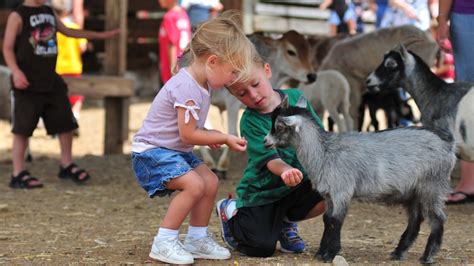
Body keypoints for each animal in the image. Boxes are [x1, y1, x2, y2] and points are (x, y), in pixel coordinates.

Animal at [262, 95, 456, 264]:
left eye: (279, 127)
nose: (265, 141)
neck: (324, 153)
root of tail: (448, 144)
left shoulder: (342, 191)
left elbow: (336, 220)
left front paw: (330, 254)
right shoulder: (329, 195)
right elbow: (327, 219)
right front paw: (321, 253)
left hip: (433, 185)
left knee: (438, 219)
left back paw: (427, 256)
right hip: (414, 191)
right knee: (415, 219)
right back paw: (398, 252)